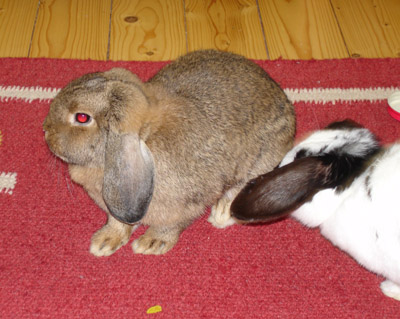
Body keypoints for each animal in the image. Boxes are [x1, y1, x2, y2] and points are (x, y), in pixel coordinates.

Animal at [43, 50, 294, 258]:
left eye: (82, 117)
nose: (45, 130)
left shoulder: (186, 205)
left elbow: (169, 226)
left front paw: (152, 243)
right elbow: (118, 223)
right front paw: (104, 242)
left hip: (263, 157)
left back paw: (222, 212)